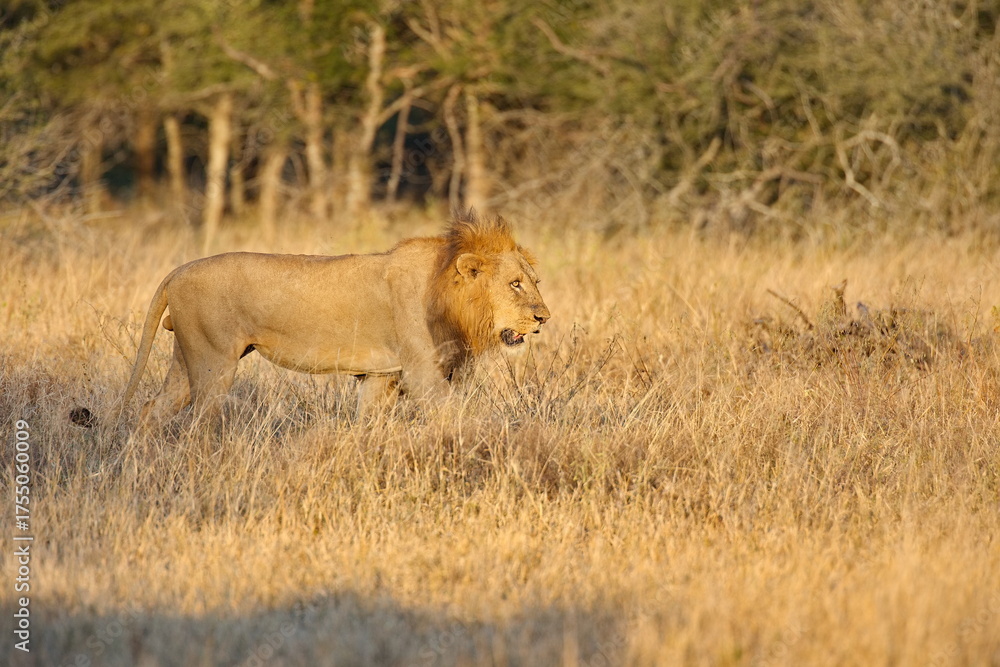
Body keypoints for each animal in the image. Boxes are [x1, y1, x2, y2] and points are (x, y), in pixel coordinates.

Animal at [117, 210, 550, 424]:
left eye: (535, 281)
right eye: (514, 284)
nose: (544, 317)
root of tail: (178, 270)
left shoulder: (380, 376)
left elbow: (368, 425)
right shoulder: (422, 374)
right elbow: (457, 416)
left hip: (187, 357)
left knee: (153, 409)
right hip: (214, 361)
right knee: (199, 422)